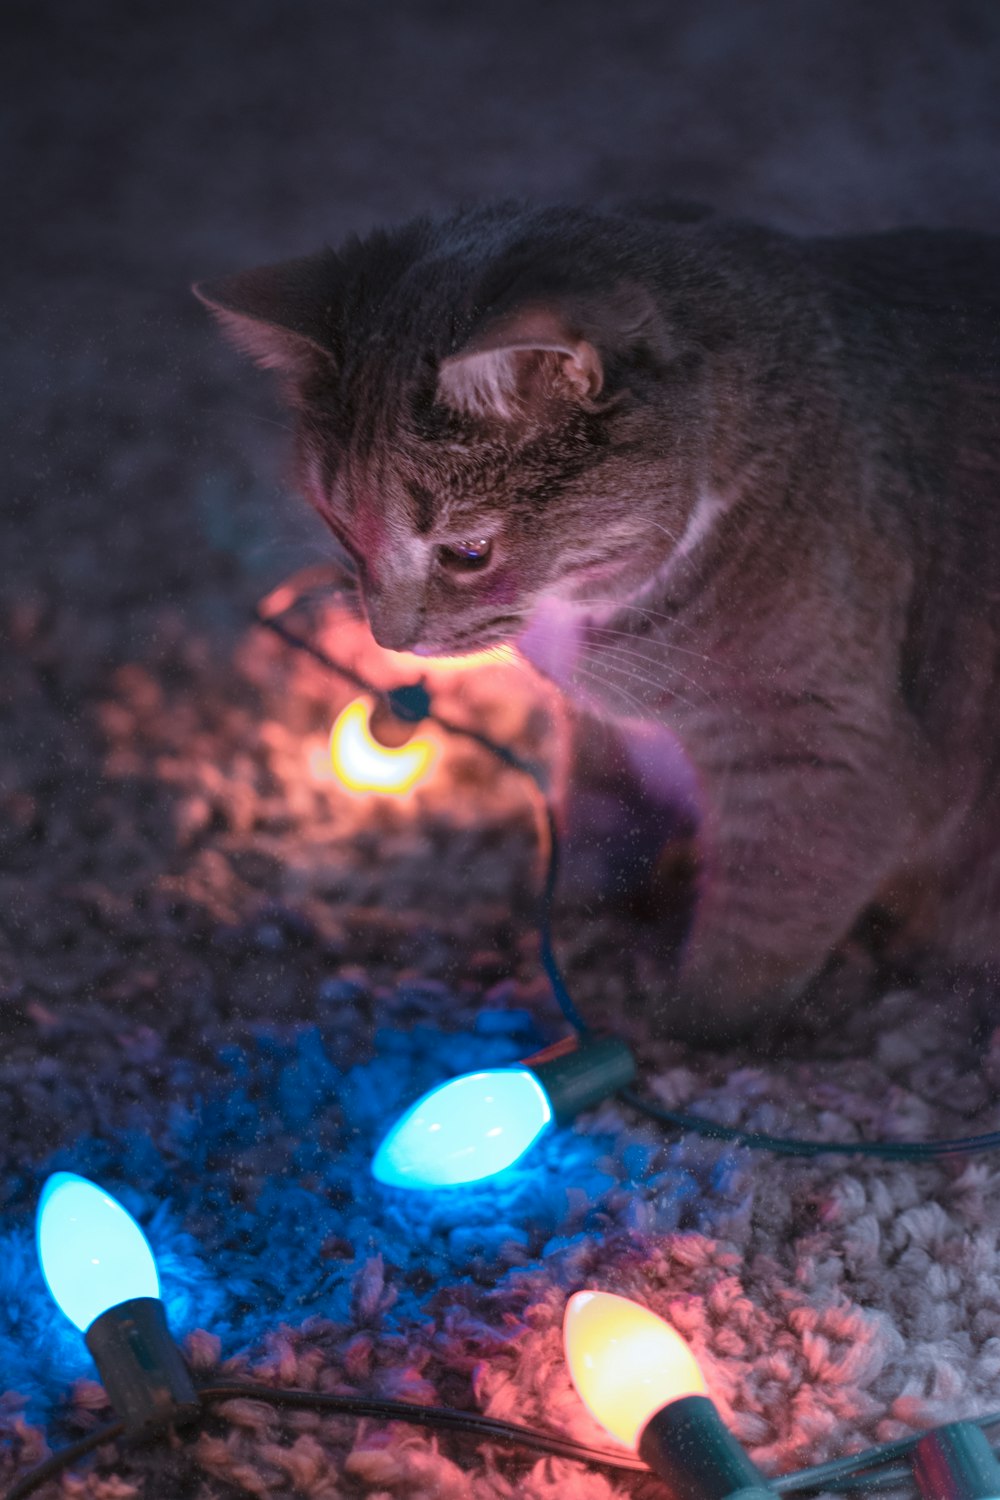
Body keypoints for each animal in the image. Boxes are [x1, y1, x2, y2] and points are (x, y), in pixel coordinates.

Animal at [193, 199, 1000, 1044]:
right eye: (341, 528)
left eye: (468, 553)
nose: (389, 637)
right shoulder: (603, 738)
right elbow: (597, 825)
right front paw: (562, 921)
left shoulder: (823, 758)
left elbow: (756, 931)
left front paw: (674, 1025)